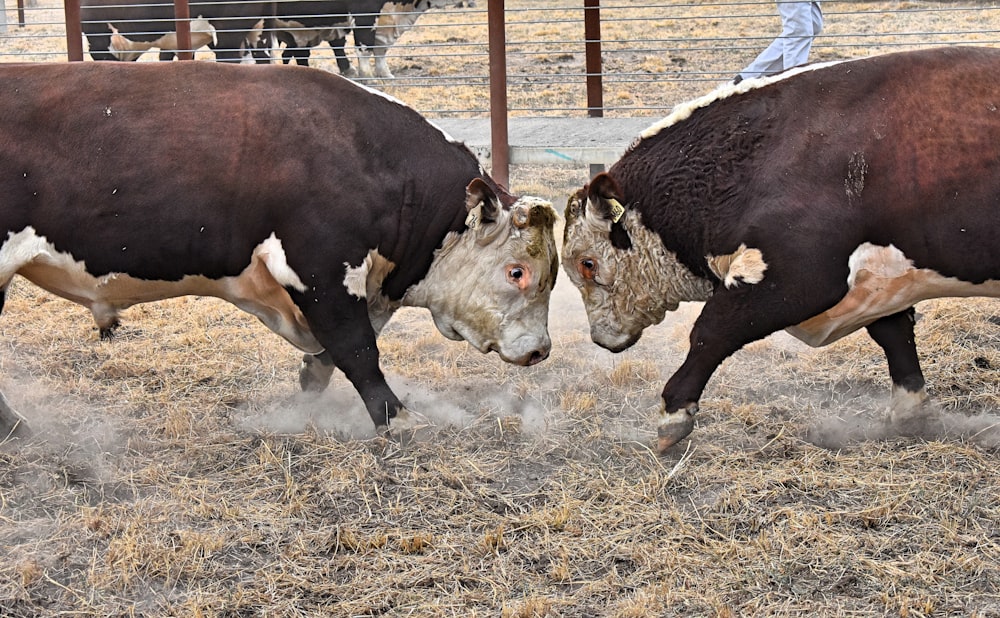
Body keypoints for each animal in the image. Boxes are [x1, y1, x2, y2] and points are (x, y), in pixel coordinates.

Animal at [0, 60, 560, 438]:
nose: (540, 351)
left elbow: (330, 356)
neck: (367, 157)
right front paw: (396, 417)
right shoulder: (320, 267)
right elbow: (357, 347)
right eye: (517, 272)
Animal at [564, 45, 1000, 450]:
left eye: (587, 264)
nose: (600, 339)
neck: (758, 158)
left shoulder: (796, 277)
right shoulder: (880, 281)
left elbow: (711, 332)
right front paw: (909, 414)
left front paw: (673, 413)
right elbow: (895, 337)